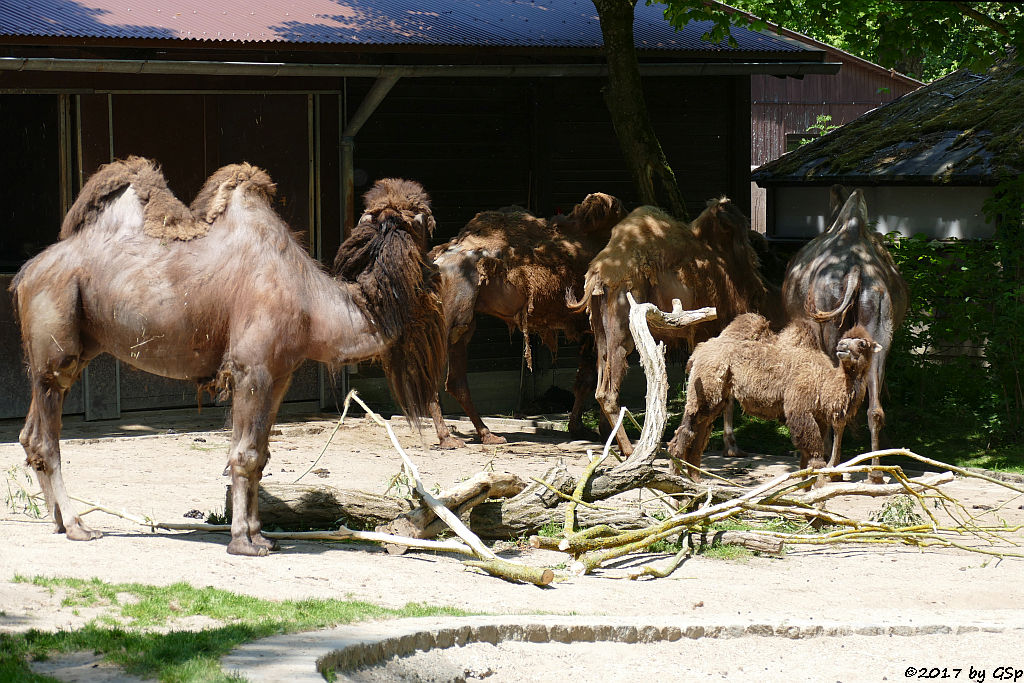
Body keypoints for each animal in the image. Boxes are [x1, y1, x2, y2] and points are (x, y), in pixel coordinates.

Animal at [11, 158, 444, 557]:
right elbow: (245, 455)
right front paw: (243, 542)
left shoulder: (278, 374)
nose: (439, 260)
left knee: (30, 434)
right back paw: (77, 526)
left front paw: (260, 535)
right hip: (55, 343)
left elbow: (260, 455)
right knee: (46, 437)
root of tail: (27, 273)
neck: (314, 305)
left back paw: (57, 521)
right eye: (428, 223)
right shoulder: (251, 368)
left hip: (74, 348)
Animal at [428, 192, 626, 448]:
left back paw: (488, 435)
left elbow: (586, 378)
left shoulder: (586, 329)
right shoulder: (595, 325)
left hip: (463, 325)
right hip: (448, 322)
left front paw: (581, 429)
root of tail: (436, 262)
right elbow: (598, 374)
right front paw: (602, 432)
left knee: (455, 380)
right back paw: (447, 438)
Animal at [573, 197, 778, 456]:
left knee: (601, 381)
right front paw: (729, 446)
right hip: (623, 331)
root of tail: (599, 275)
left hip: (600, 333)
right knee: (608, 392)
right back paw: (632, 451)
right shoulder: (709, 331)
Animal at [663, 313, 880, 485]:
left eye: (862, 344)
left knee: (700, 433)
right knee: (687, 429)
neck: (824, 383)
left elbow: (806, 459)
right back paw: (677, 478)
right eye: (845, 339)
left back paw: (695, 479)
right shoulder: (799, 409)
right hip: (705, 387)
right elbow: (816, 457)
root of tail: (698, 351)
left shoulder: (820, 418)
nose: (841, 346)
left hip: (716, 396)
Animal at [778, 187, 909, 483]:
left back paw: (833, 468)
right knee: (875, 407)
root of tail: (856, 271)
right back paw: (875, 472)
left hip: (831, 327)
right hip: (878, 325)